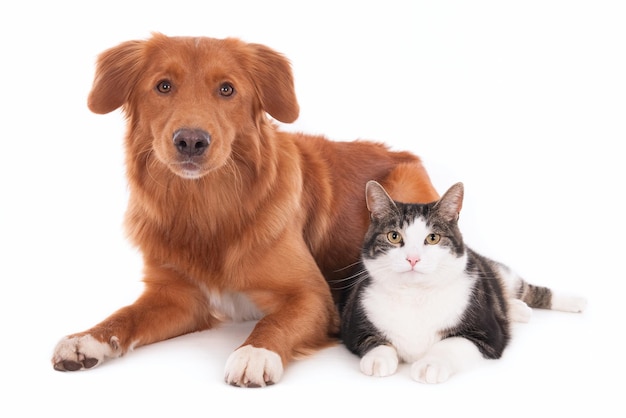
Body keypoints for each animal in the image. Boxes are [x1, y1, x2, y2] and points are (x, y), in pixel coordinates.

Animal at [51, 31, 436, 386]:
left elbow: (274, 320)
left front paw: (255, 352)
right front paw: (88, 339)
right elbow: (126, 314)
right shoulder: (177, 297)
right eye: (163, 86)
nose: (191, 140)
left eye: (226, 89)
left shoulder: (311, 295)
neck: (204, 206)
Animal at [336, 181, 584, 384]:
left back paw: (573, 301)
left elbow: (452, 343)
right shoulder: (353, 324)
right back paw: (517, 309)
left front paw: (431, 364)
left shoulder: (488, 334)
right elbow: (371, 339)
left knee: (527, 289)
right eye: (394, 236)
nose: (413, 259)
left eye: (433, 238)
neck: (415, 294)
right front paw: (378, 358)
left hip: (503, 275)